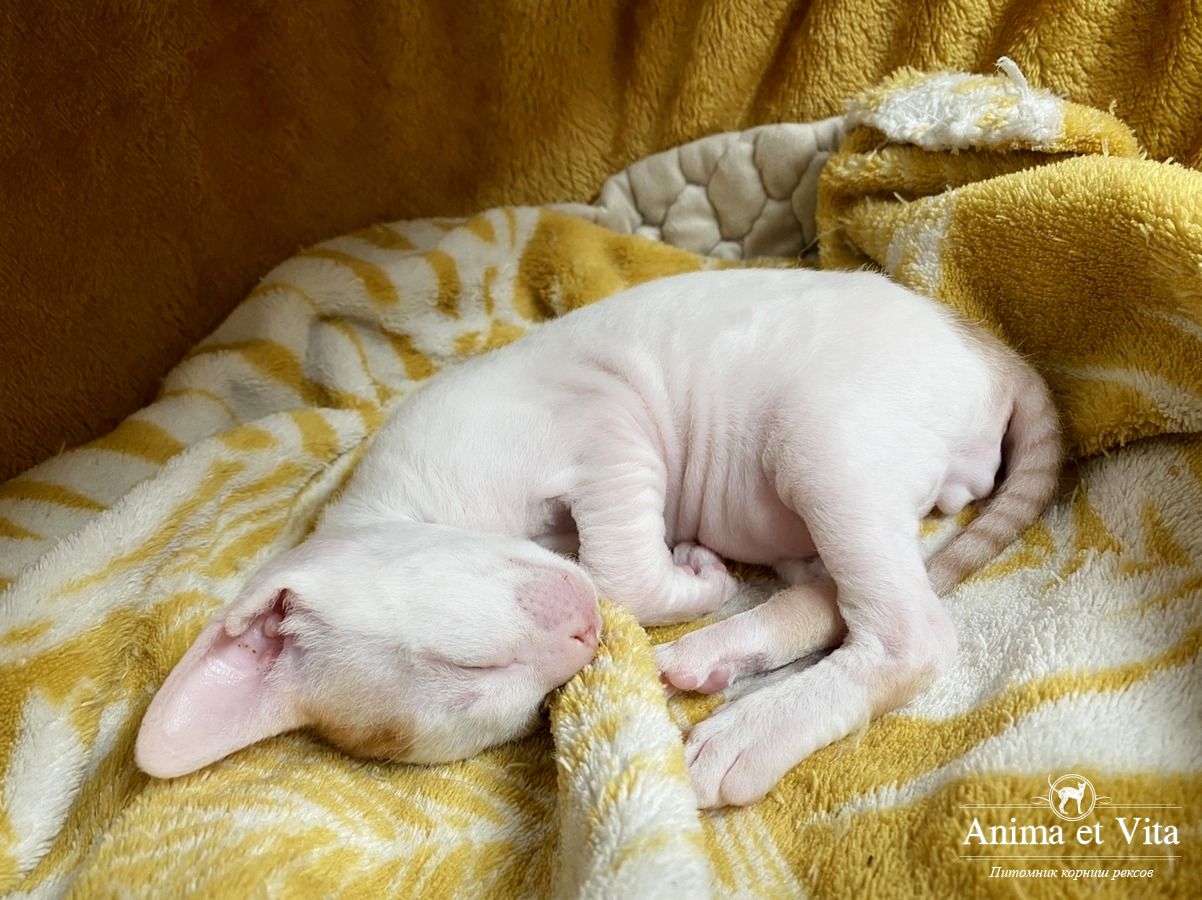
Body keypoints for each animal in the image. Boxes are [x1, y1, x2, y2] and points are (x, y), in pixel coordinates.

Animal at [136, 267, 1061, 808]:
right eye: (514, 700)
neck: (404, 506)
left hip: (822, 436)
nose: (582, 637)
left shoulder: (602, 414)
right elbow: (617, 570)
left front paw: (691, 577)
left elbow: (618, 565)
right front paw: (691, 590)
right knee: (832, 591)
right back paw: (719, 653)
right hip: (818, 507)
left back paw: (749, 725)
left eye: (467, 666)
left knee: (910, 632)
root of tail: (986, 346)